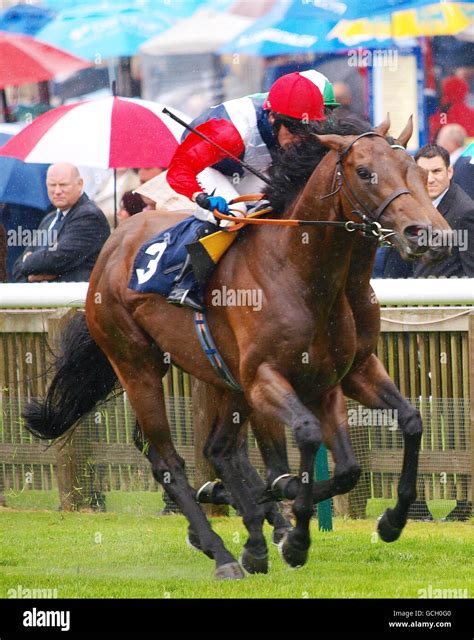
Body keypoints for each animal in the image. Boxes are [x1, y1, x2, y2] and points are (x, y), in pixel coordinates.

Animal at [25, 116, 452, 580]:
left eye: (417, 171)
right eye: (364, 172)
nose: (429, 234)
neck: (301, 272)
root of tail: (112, 244)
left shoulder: (340, 374)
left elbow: (387, 438)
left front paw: (388, 521)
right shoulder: (264, 377)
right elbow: (303, 439)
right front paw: (294, 536)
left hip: (218, 378)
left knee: (218, 449)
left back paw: (249, 537)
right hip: (137, 365)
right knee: (168, 461)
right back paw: (224, 552)